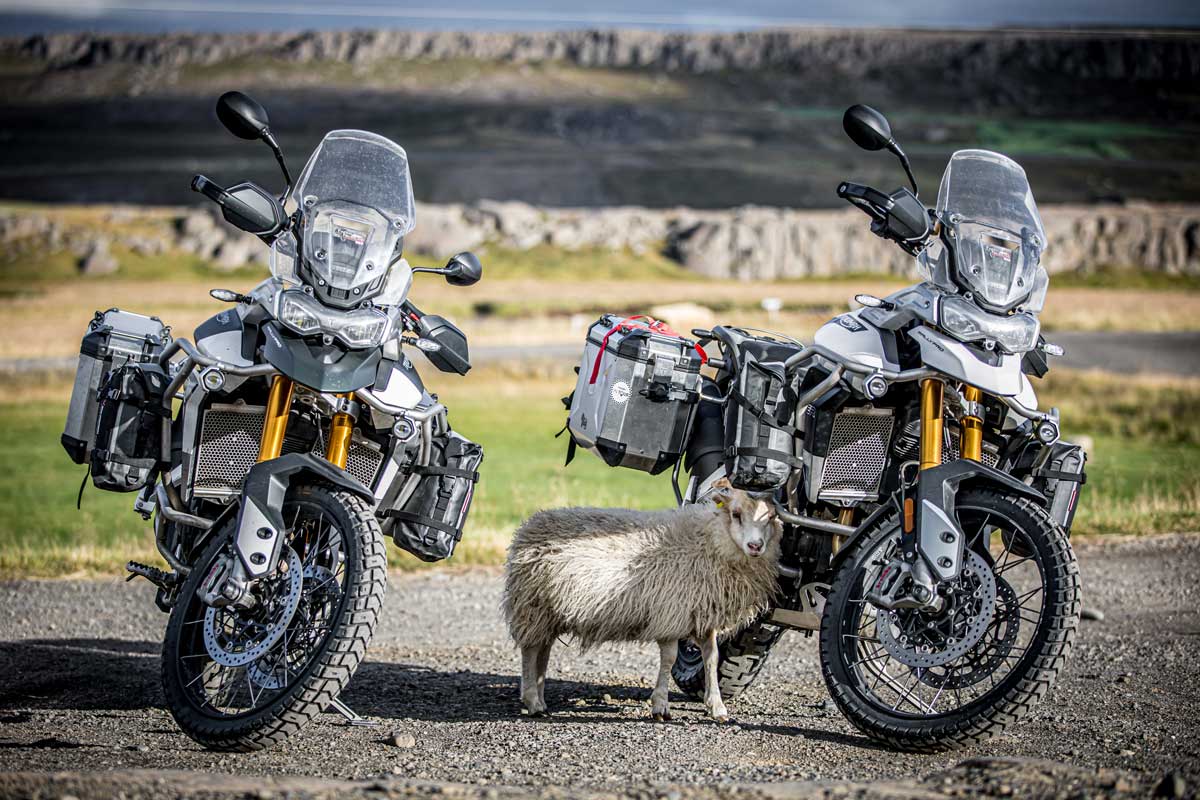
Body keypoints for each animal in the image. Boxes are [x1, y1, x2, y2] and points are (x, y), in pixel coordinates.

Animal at [501, 478, 781, 722]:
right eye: (736, 514)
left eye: (770, 517)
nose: (755, 546)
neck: (708, 540)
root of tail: (529, 524)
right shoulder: (671, 614)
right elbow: (669, 659)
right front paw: (660, 706)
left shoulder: (701, 614)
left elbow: (711, 659)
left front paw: (717, 706)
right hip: (532, 606)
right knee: (530, 652)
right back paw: (533, 702)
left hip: (548, 613)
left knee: (543, 651)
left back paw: (540, 699)